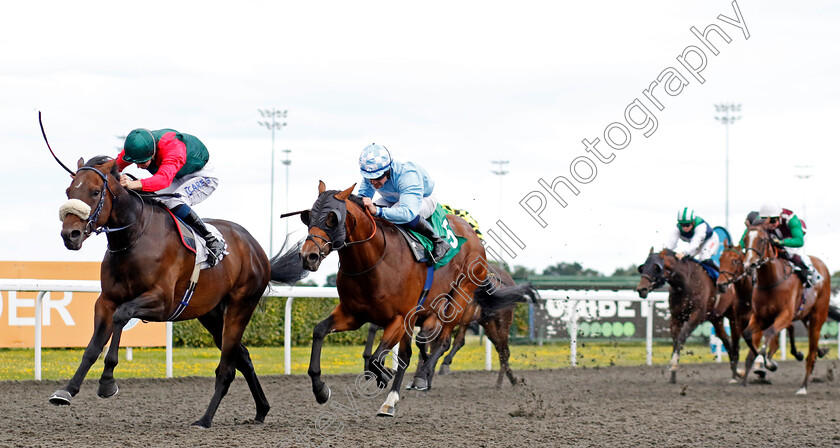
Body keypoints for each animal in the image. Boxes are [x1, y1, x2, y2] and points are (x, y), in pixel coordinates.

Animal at [50, 157, 306, 428]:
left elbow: (122, 315)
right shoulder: (106, 300)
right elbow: (92, 347)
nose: (70, 235)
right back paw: (261, 410)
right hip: (212, 314)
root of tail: (257, 250)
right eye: (69, 191)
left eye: (95, 192)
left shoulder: (162, 301)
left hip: (240, 306)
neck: (135, 237)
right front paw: (67, 390)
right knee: (243, 356)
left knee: (227, 369)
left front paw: (107, 382)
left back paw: (205, 419)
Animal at [298, 182, 528, 416]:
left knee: (455, 342)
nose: (308, 256)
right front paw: (320, 389)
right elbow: (319, 331)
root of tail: (474, 237)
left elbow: (383, 357)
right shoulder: (353, 314)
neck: (374, 261)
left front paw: (386, 378)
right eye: (308, 216)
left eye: (332, 218)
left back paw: (422, 378)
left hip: (462, 303)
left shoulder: (401, 318)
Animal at [636, 248, 736, 382]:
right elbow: (675, 340)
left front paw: (673, 366)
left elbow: (681, 337)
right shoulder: (676, 317)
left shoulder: (696, 316)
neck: (686, 282)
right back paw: (735, 373)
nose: (641, 289)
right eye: (642, 268)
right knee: (726, 340)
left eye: (656, 268)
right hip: (717, 319)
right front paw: (672, 376)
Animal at [740, 223, 832, 392]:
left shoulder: (784, 315)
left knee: (811, 354)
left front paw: (769, 363)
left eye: (762, 240)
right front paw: (762, 363)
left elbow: (770, 333)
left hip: (817, 319)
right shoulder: (760, 317)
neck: (771, 281)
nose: (749, 264)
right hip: (804, 316)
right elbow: (748, 334)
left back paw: (803, 387)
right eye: (745, 239)